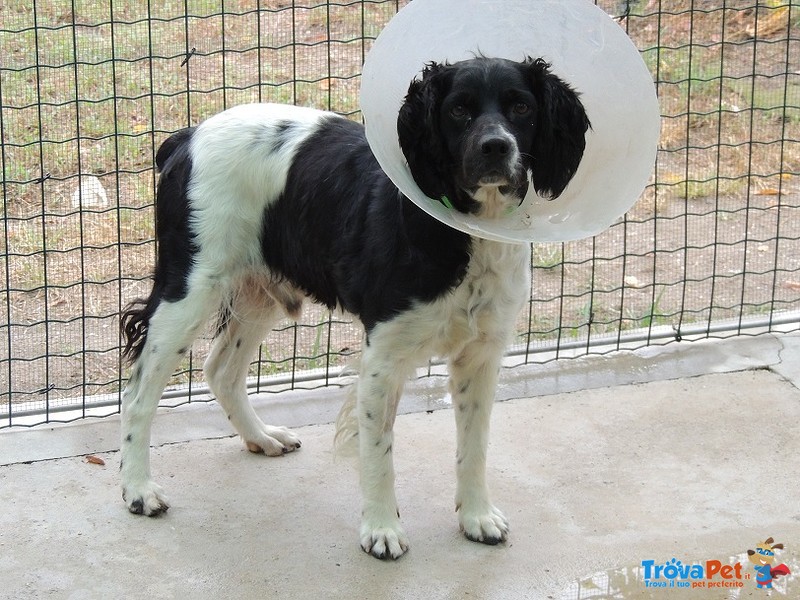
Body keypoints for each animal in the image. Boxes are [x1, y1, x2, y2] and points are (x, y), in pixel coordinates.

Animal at [122, 56, 592, 556]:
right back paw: (138, 490)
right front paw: (382, 529)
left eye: (521, 107)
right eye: (458, 110)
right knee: (138, 394)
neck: (467, 233)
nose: (496, 147)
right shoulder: (384, 357)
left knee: (220, 370)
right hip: (188, 291)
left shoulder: (481, 356)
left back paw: (261, 437)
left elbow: (474, 446)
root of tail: (187, 136)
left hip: (257, 290)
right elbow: (379, 451)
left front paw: (477, 517)